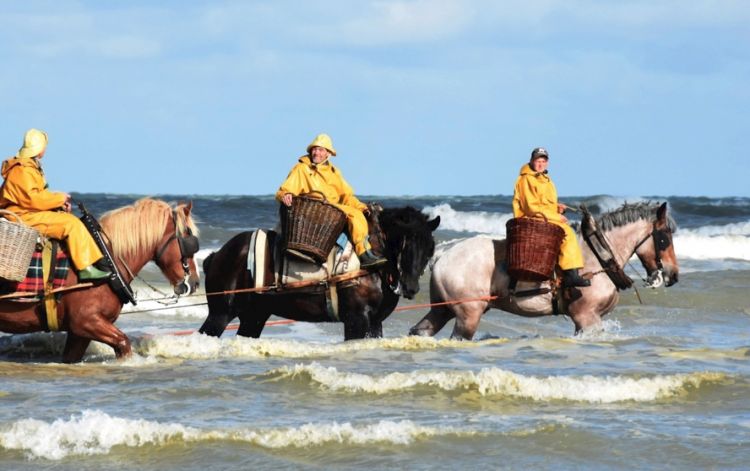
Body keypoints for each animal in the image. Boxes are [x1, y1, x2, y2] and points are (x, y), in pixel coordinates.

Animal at [0, 197, 200, 364]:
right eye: (188, 239)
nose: (196, 282)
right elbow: (123, 342)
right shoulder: (86, 321)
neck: (106, 259)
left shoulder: (79, 333)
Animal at [200, 206, 440, 340]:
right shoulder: (356, 320)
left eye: (430, 247)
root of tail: (218, 254)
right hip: (220, 314)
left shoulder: (374, 322)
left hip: (254, 317)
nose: (411, 287)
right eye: (405, 243)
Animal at [412, 203, 680, 340]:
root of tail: (444, 254)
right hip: (468, 316)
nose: (673, 275)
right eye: (664, 238)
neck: (595, 256)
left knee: (421, 330)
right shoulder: (586, 318)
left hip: (443, 310)